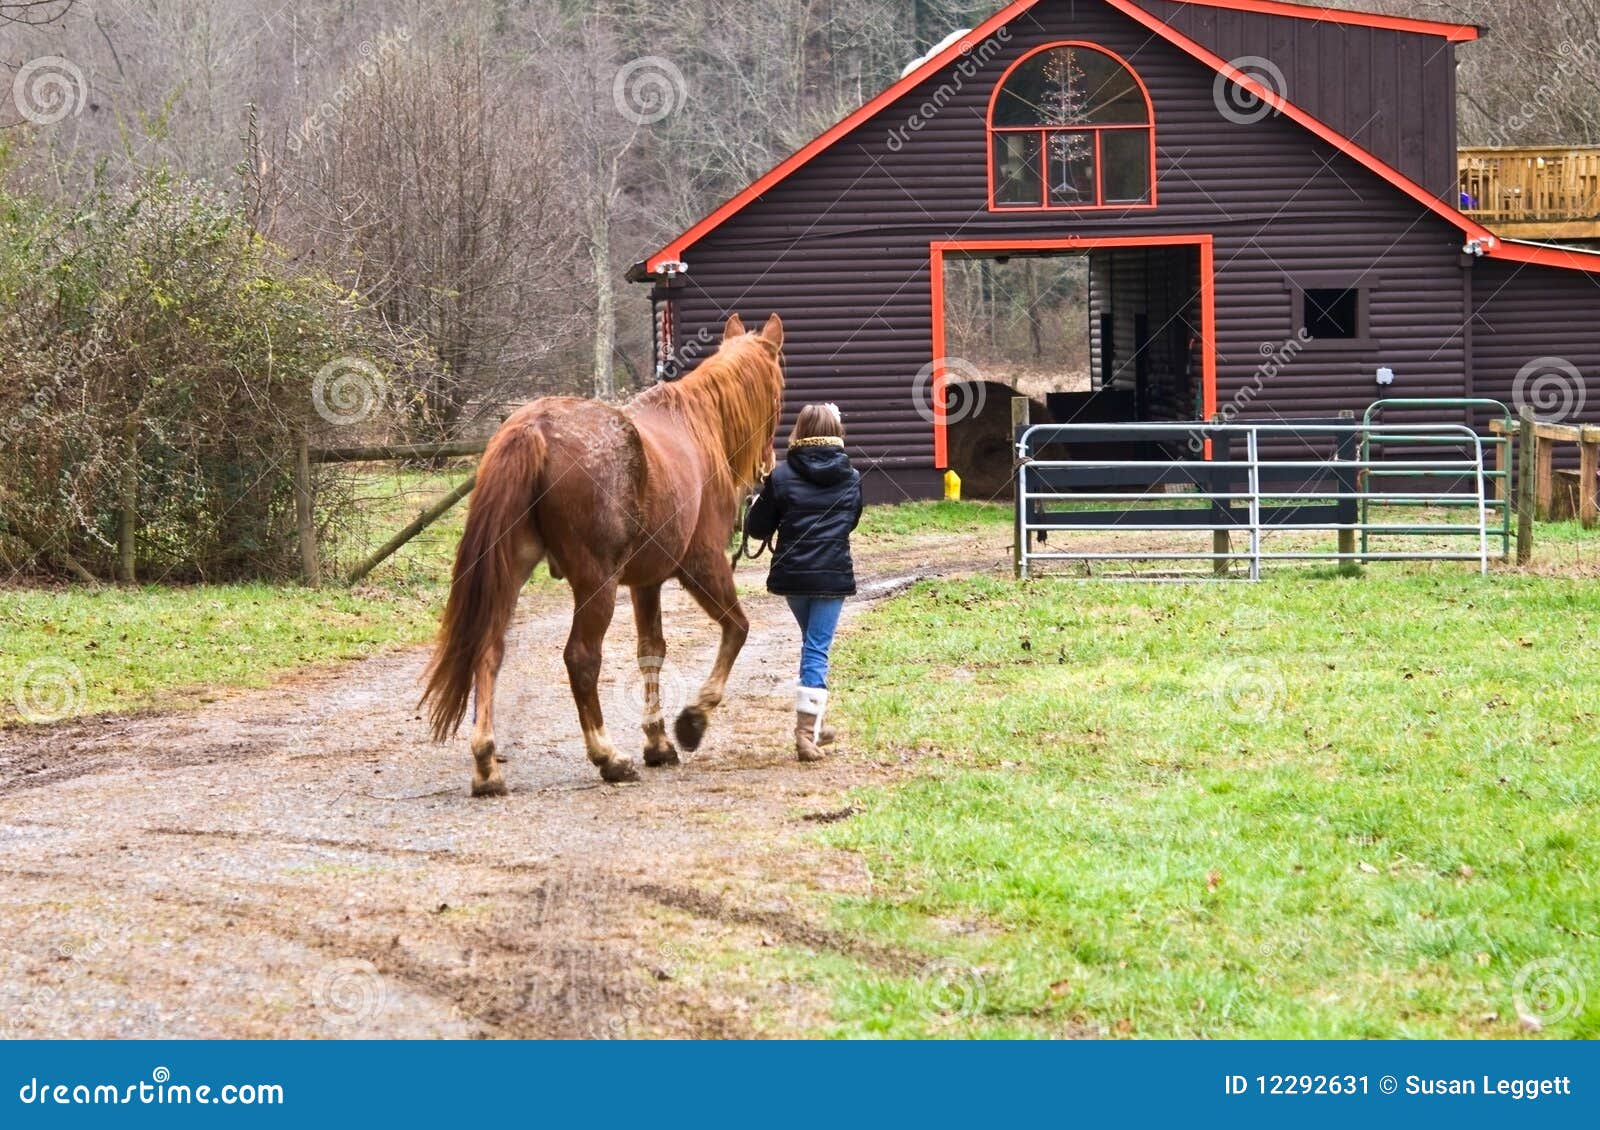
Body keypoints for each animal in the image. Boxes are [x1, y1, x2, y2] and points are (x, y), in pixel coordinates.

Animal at [421, 313, 786, 793]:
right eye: (780, 392)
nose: (768, 468)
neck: (696, 424)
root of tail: (535, 427)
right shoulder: (701, 566)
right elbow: (737, 630)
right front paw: (692, 721)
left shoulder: (646, 582)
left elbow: (652, 651)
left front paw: (658, 742)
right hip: (597, 585)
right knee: (581, 658)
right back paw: (607, 756)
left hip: (510, 573)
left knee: (489, 650)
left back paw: (486, 765)